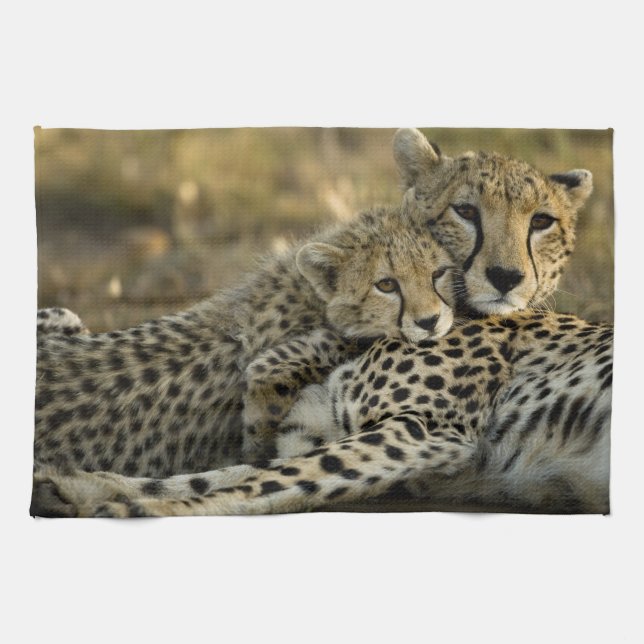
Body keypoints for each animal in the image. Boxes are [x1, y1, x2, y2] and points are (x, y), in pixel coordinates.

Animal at [34, 205, 455, 479]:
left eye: (439, 273)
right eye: (386, 284)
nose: (430, 321)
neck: (309, 294)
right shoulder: (277, 365)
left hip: (62, 316)